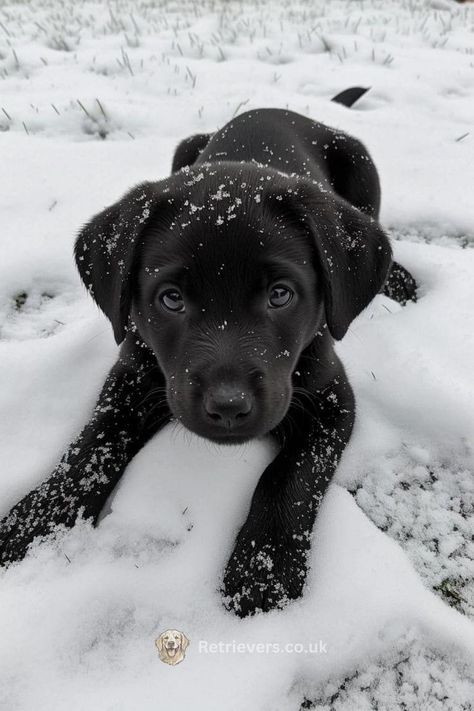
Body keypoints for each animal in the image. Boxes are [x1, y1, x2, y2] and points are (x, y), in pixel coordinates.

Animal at [0, 87, 414, 616]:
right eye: (171, 299)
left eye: (281, 294)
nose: (228, 406)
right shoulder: (132, 372)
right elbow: (92, 444)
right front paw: (37, 520)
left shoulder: (333, 397)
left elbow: (292, 473)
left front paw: (265, 566)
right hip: (186, 145)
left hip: (361, 163)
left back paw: (398, 278)